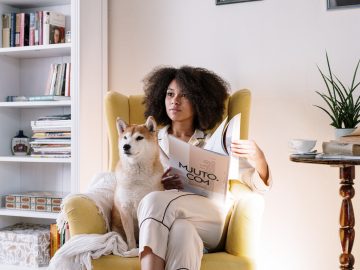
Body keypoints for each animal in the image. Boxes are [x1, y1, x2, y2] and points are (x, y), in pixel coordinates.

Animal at [111, 116, 165, 251]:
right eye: (125, 137)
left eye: (139, 138)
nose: (126, 146)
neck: (137, 176)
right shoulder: (125, 209)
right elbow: (130, 236)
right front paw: (132, 250)